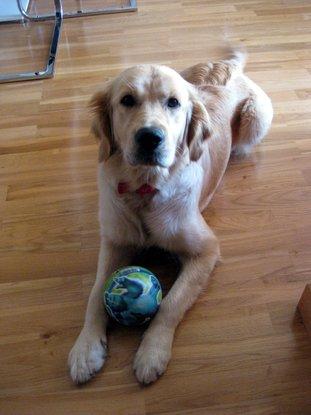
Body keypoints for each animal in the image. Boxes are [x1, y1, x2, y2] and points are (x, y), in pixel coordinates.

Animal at [68, 50, 272, 386]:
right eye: (126, 100)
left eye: (173, 103)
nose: (150, 137)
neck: (144, 188)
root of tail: (227, 65)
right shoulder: (114, 240)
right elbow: (96, 292)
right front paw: (86, 348)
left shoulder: (206, 250)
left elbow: (171, 303)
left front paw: (152, 352)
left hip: (256, 119)